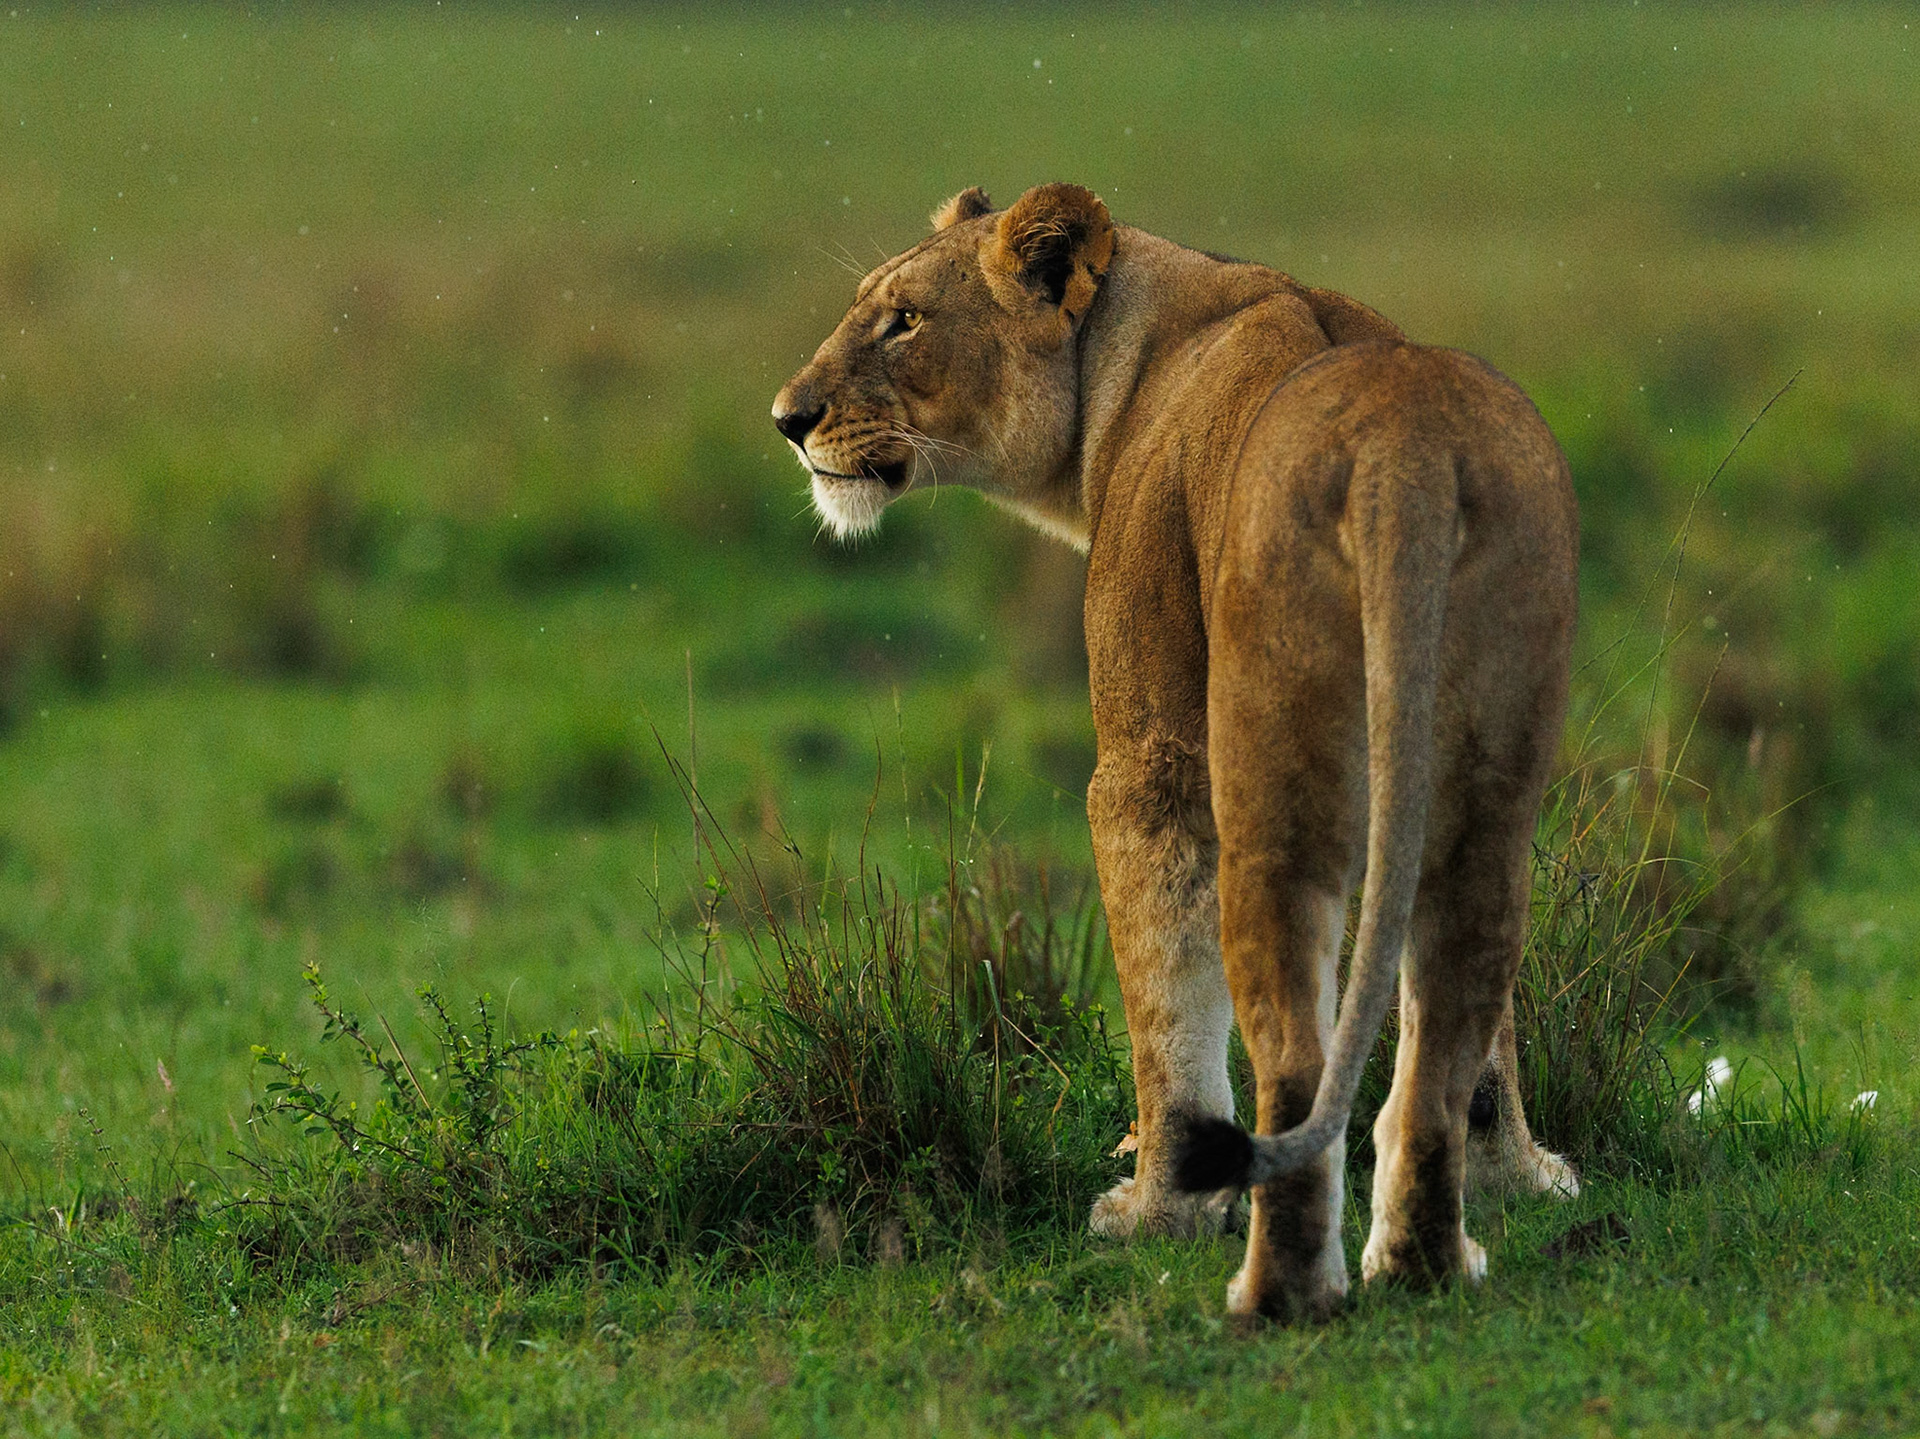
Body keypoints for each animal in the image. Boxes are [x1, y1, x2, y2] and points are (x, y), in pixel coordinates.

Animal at [772, 182, 1579, 1321]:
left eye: (905, 320)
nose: (786, 420)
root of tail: (1402, 456)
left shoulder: (1150, 758)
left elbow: (1165, 1000)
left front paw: (1157, 1206)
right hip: (1493, 776)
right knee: (1459, 1017)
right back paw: (1447, 1240)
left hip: (1272, 772)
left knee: (1294, 1057)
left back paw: (1279, 1292)